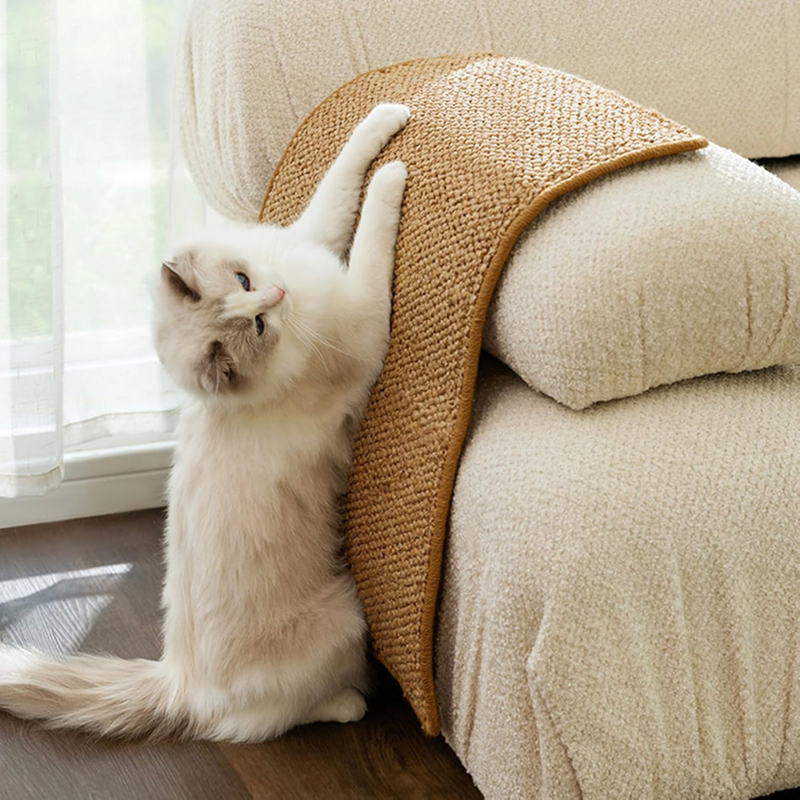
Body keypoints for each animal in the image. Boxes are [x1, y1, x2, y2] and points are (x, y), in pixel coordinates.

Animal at [0, 103, 410, 740]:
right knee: (266, 719)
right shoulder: (365, 321)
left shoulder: (305, 241)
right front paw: (396, 172)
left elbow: (344, 174)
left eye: (245, 282)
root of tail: (177, 678)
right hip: (348, 615)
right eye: (259, 326)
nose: (278, 293)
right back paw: (349, 704)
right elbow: (372, 230)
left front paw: (389, 118)